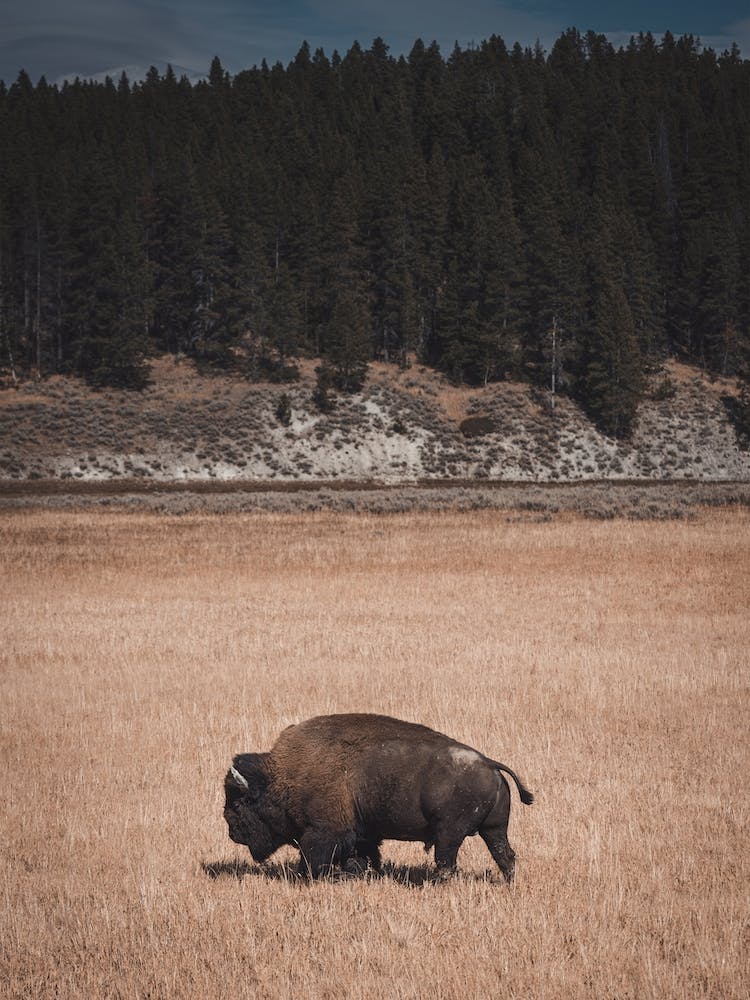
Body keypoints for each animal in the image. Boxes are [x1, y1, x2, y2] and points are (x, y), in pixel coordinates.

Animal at [224, 713, 533, 881]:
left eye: (238, 803)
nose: (232, 832)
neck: (284, 774)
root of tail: (489, 764)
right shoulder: (364, 834)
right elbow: (364, 856)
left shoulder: (324, 832)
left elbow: (313, 857)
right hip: (494, 828)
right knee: (505, 855)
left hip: (449, 834)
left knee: (447, 862)